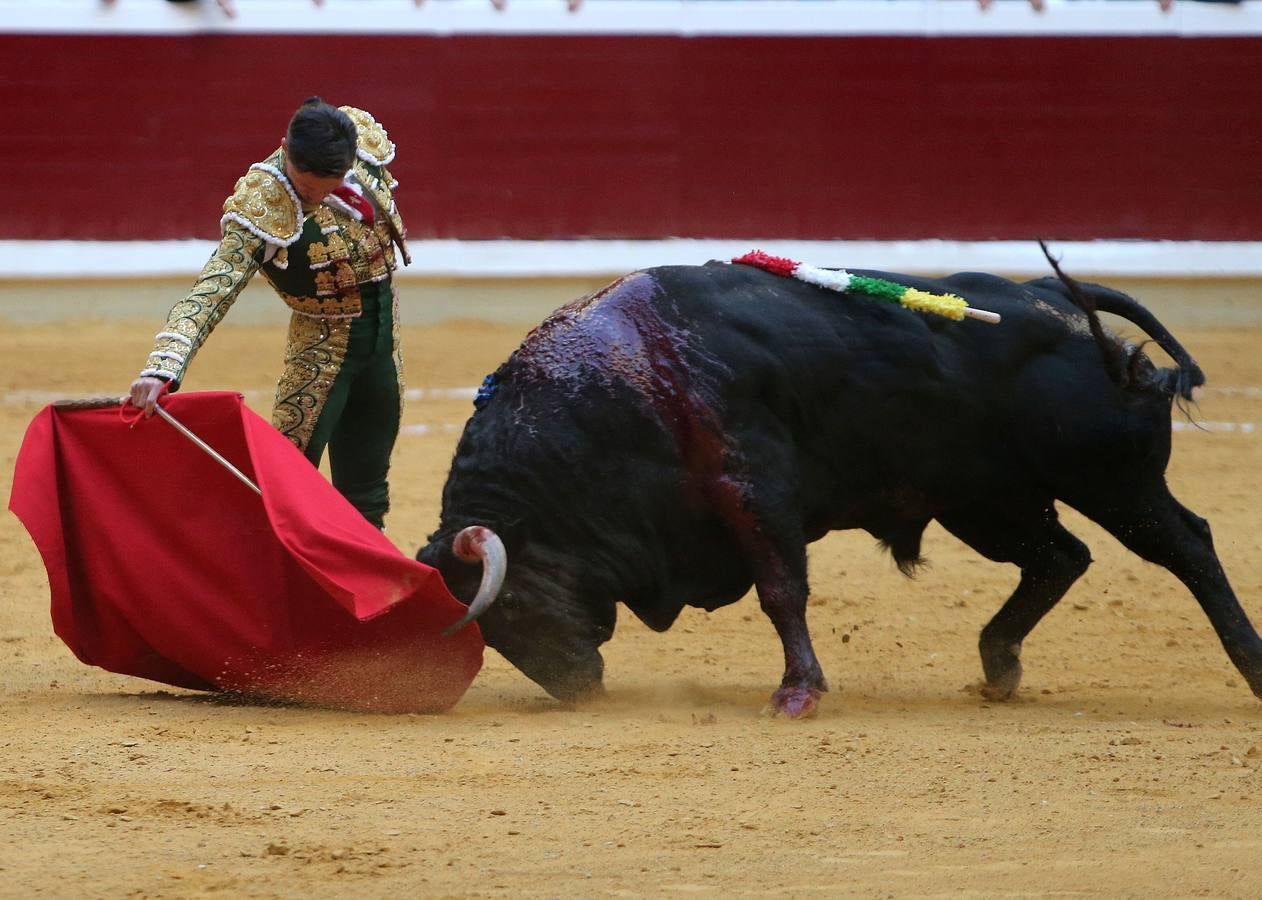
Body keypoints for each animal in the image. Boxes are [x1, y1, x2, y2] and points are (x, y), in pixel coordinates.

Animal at [416, 260, 1262, 716]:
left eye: (508, 605)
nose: (576, 688)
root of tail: (1059, 302)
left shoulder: (754, 488)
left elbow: (781, 590)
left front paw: (796, 695)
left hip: (1112, 481)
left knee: (1186, 546)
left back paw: (1251, 665)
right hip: (984, 503)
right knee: (1060, 557)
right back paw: (997, 667)